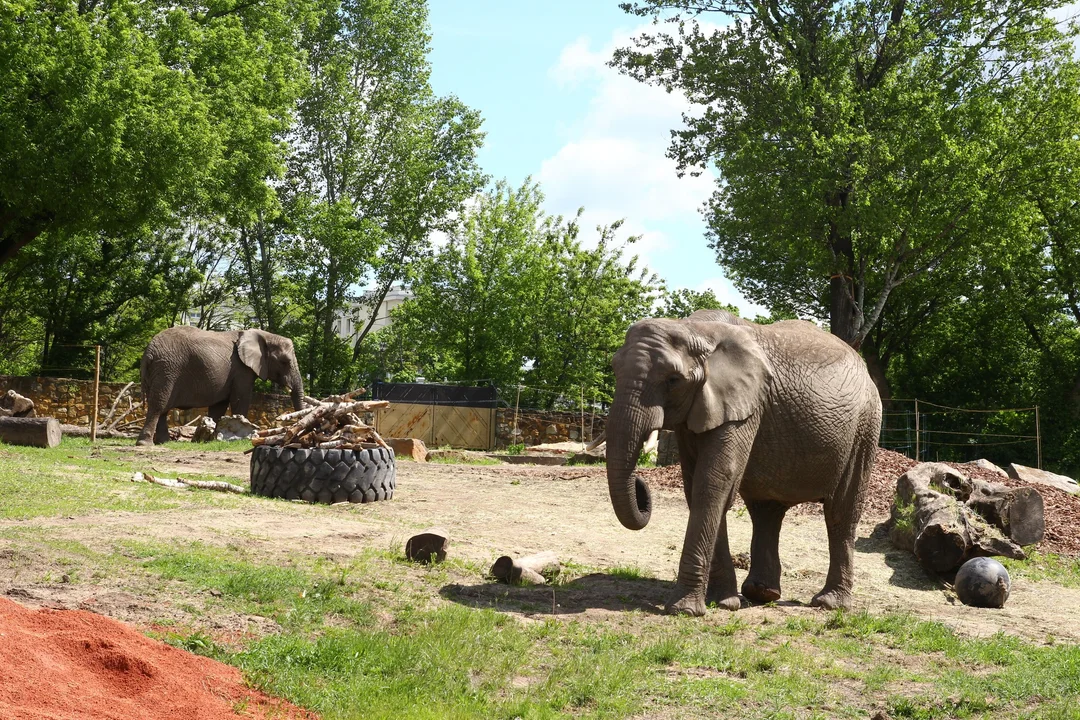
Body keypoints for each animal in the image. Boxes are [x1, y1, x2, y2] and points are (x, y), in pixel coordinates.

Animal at [137, 325, 304, 444]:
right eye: (285, 362)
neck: (264, 335)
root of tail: (148, 352)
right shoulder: (241, 370)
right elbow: (241, 399)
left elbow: (219, 406)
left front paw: (211, 437)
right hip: (167, 370)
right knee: (158, 405)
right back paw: (145, 444)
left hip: (161, 371)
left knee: (162, 408)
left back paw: (164, 443)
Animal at [604, 306, 881, 617]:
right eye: (614, 369)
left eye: (673, 380)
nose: (641, 486)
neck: (695, 329)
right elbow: (697, 485)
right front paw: (723, 603)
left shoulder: (744, 405)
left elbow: (714, 481)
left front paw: (684, 610)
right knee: (766, 512)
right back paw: (761, 593)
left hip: (865, 426)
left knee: (840, 512)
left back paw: (829, 604)